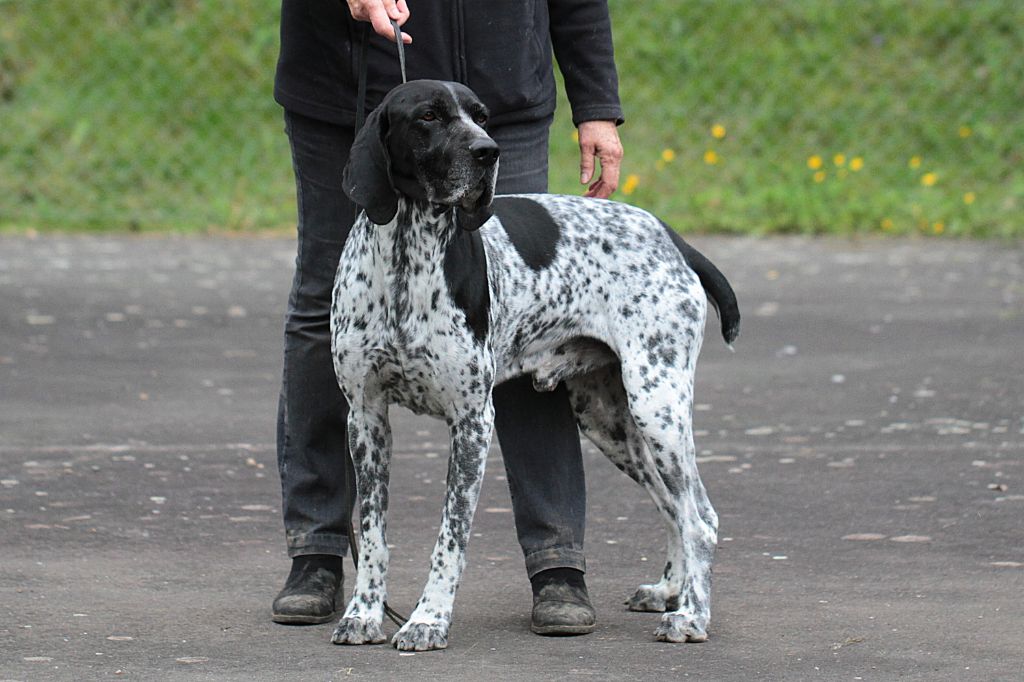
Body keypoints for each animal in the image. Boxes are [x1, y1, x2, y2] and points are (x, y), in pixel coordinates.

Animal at [327, 78, 737, 647]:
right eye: (428, 116)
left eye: (482, 116)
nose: (488, 153)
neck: (407, 257)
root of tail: (674, 238)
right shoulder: (366, 419)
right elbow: (370, 534)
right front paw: (364, 613)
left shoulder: (472, 423)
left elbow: (449, 538)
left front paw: (428, 620)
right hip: (611, 421)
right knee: (675, 508)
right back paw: (668, 592)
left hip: (658, 408)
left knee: (701, 517)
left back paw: (692, 616)